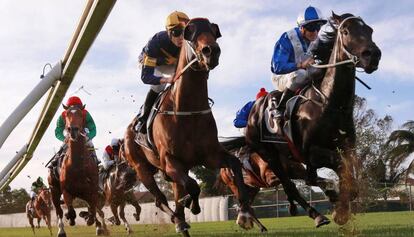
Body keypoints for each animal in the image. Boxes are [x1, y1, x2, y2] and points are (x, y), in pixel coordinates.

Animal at [47, 104, 105, 236]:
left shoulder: (92, 191)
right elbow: (71, 212)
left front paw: (93, 222)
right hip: (54, 190)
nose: (72, 129)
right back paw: (61, 230)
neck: (77, 165)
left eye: (80, 114)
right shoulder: (66, 191)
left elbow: (93, 210)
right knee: (59, 211)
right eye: (67, 114)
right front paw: (70, 218)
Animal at [124, 17, 256, 236]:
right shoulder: (169, 160)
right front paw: (191, 206)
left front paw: (244, 214)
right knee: (160, 200)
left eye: (214, 30)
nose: (211, 51)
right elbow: (193, 186)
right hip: (142, 169)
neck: (187, 109)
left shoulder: (210, 155)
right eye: (189, 32)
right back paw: (178, 218)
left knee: (174, 193)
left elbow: (235, 165)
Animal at [243, 12, 382, 226]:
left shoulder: (346, 147)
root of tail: (252, 111)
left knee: (302, 181)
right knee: (291, 185)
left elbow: (349, 173)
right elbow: (339, 166)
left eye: (370, 30)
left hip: (287, 159)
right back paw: (316, 214)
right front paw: (340, 210)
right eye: (345, 31)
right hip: (269, 155)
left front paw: (339, 203)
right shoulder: (311, 152)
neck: (330, 104)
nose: (372, 55)